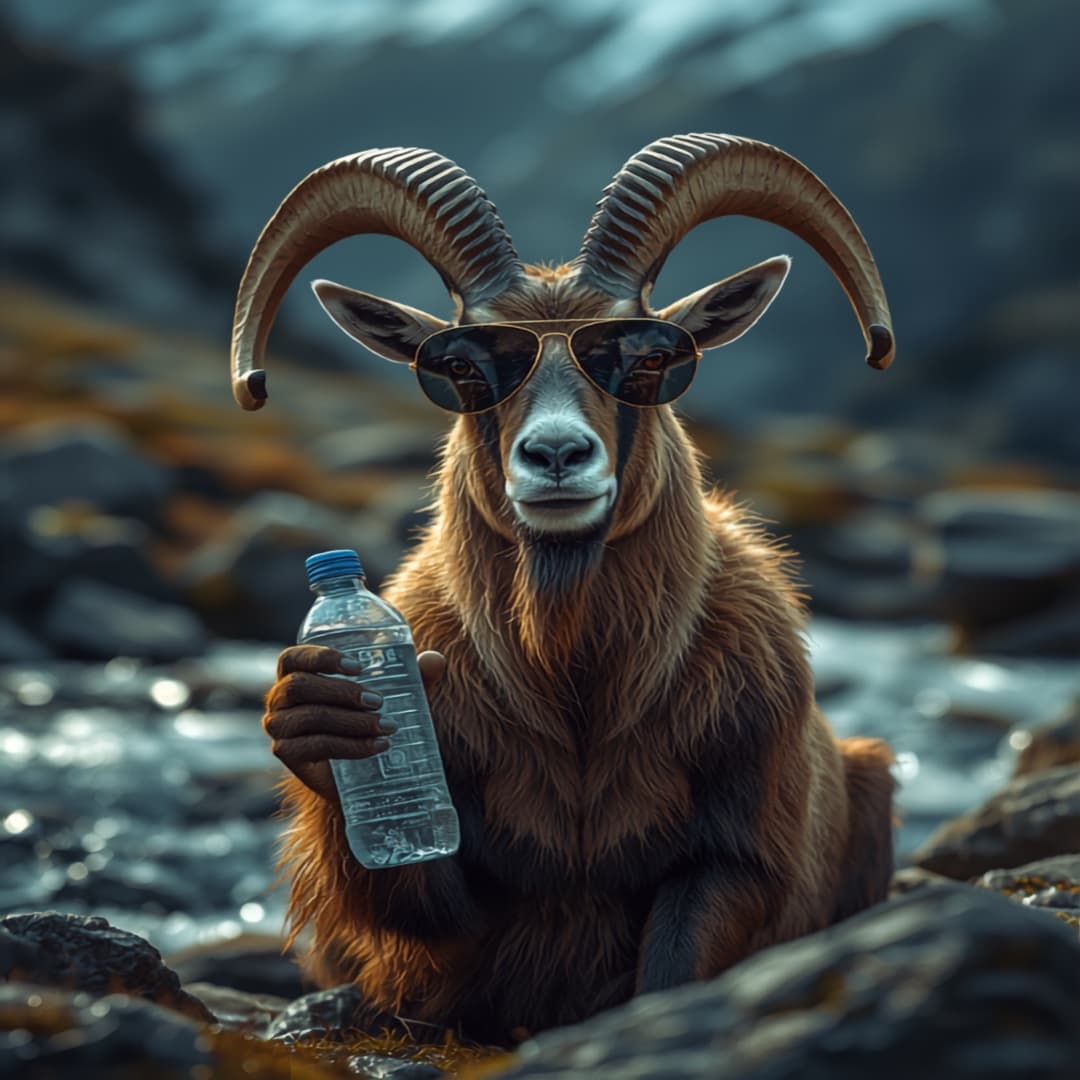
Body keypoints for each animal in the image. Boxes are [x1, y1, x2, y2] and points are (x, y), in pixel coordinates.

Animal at [230, 135, 897, 1046]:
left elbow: (677, 962)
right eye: (462, 368)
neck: (578, 689)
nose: (555, 456)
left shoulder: (735, 858)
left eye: (650, 357)